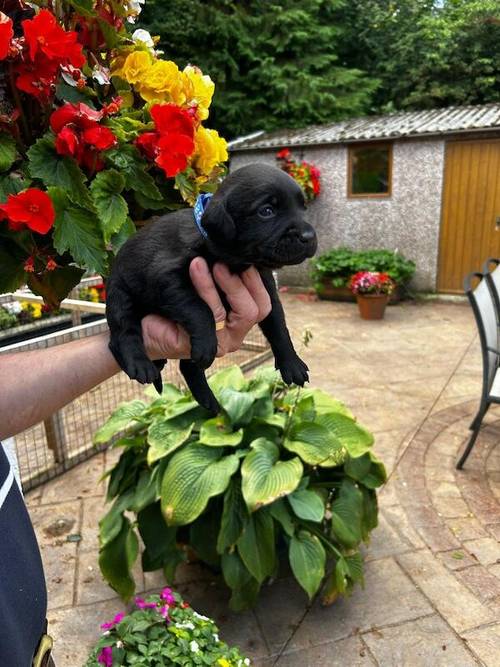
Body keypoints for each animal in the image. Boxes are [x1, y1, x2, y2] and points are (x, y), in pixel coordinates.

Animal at [106, 162, 316, 412]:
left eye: (303, 208)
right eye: (266, 211)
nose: (310, 236)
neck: (232, 259)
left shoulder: (267, 292)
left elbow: (278, 327)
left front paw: (292, 363)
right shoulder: (165, 276)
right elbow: (197, 307)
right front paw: (207, 341)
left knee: (188, 367)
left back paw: (209, 401)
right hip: (120, 295)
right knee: (122, 334)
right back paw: (140, 364)